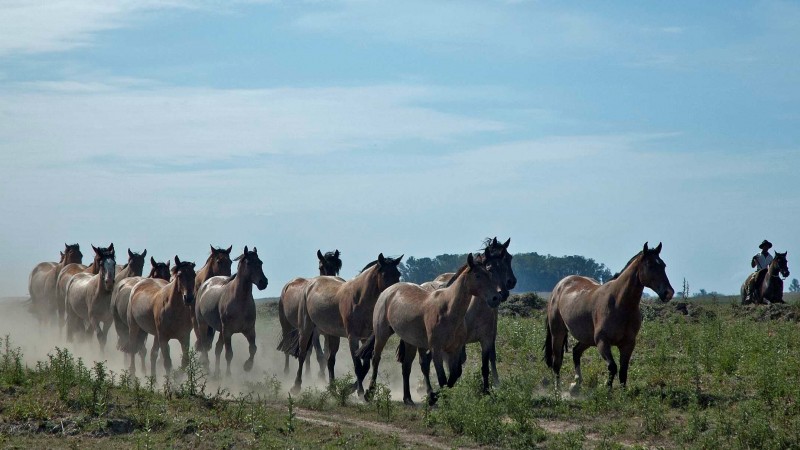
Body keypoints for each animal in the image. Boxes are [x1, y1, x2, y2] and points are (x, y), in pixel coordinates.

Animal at [195, 246, 268, 376]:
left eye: (260, 262)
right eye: (249, 263)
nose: (263, 282)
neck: (240, 301)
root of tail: (206, 282)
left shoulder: (249, 330)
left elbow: (253, 348)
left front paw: (247, 366)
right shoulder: (228, 331)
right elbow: (229, 354)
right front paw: (228, 375)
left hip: (220, 330)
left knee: (217, 348)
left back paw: (217, 373)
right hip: (203, 324)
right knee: (204, 345)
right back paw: (207, 367)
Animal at [278, 248, 344, 378]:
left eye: (336, 268)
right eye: (321, 267)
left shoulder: (328, 333)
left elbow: (326, 353)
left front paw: (321, 373)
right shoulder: (315, 333)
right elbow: (320, 356)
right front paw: (321, 376)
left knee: (307, 351)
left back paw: (308, 373)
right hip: (287, 326)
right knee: (288, 345)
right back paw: (287, 371)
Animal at [284, 253, 404, 394]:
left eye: (398, 274)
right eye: (385, 275)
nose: (395, 292)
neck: (359, 299)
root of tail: (310, 284)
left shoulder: (364, 338)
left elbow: (365, 366)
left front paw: (350, 389)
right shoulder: (353, 338)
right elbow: (357, 366)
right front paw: (360, 393)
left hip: (332, 335)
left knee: (330, 360)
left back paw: (332, 388)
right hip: (306, 329)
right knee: (303, 354)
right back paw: (296, 387)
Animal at [360, 253, 506, 404]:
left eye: (489, 273)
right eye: (477, 275)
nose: (496, 298)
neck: (448, 310)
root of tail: (389, 290)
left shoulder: (455, 349)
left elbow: (454, 375)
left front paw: (434, 396)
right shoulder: (437, 349)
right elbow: (442, 378)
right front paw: (438, 398)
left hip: (410, 341)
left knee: (406, 366)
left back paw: (408, 398)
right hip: (382, 334)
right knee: (376, 358)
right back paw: (369, 393)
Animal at [544, 241, 676, 392]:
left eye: (663, 265)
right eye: (650, 265)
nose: (668, 292)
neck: (619, 304)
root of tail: (561, 285)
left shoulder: (628, 344)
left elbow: (623, 372)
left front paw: (623, 393)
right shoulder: (603, 342)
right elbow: (612, 367)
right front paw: (607, 390)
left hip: (587, 338)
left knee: (576, 352)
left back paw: (576, 383)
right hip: (558, 332)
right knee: (557, 362)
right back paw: (558, 391)